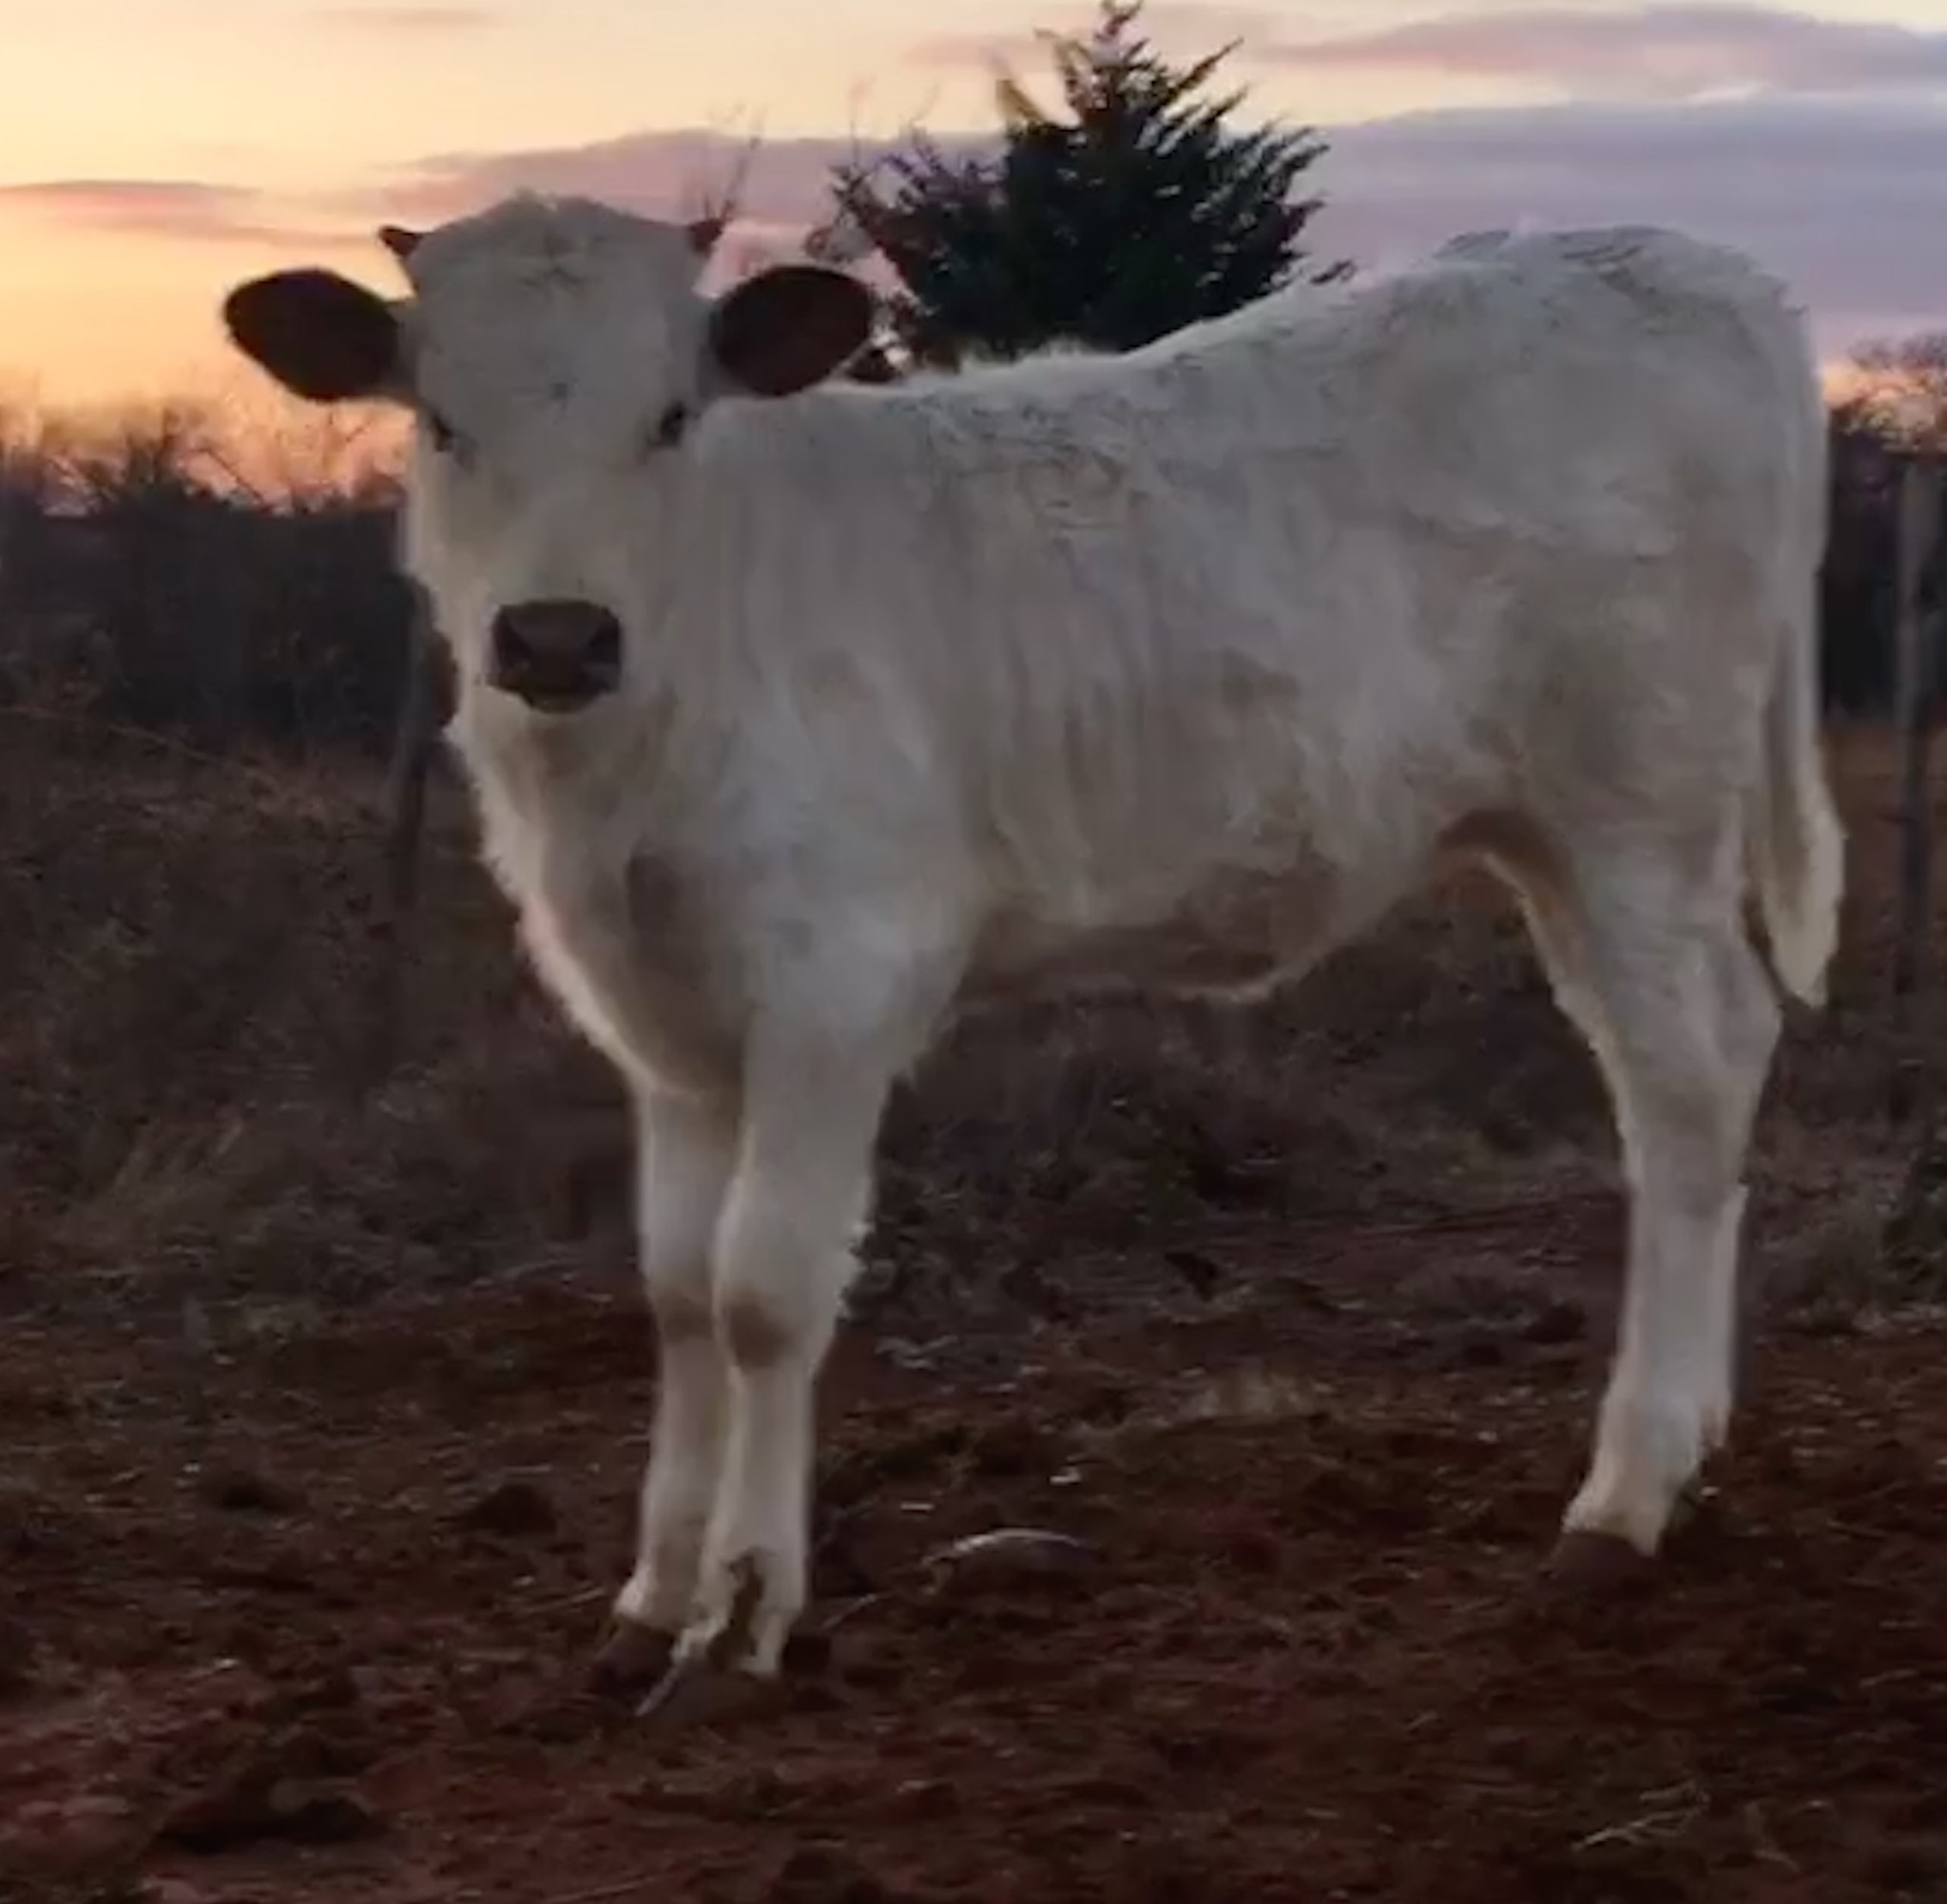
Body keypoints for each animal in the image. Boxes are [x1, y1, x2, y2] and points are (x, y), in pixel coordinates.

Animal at [220, 197, 1844, 1708]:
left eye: (670, 415)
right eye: (443, 422)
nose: (557, 635)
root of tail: (1699, 268)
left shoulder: (836, 980)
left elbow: (762, 1290)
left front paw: (740, 1615)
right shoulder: (661, 1018)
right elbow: (677, 1288)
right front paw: (647, 1600)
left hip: (1639, 809)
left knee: (1687, 1081)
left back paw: (1624, 1496)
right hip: (1557, 838)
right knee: (1713, 1049)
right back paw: (1689, 1450)